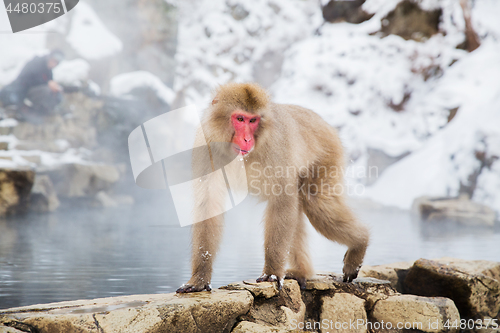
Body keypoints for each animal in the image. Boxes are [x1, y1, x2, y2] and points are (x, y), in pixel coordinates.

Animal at [175, 81, 368, 292]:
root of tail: (323, 122)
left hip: (327, 156)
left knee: (316, 204)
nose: (247, 139)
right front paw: (199, 279)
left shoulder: (276, 147)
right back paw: (302, 271)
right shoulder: (206, 145)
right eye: (240, 119)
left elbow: (281, 201)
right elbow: (208, 204)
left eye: (253, 121)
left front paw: (272, 272)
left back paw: (360, 243)